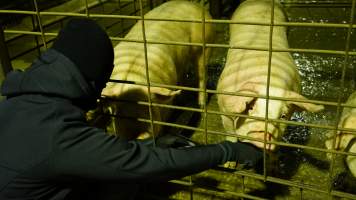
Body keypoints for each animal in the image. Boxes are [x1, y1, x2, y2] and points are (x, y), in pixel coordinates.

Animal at [101, 0, 214, 140]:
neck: (132, 75)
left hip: (205, 47)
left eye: (148, 108)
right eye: (118, 112)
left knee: (202, 75)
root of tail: (195, 5)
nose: (139, 135)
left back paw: (201, 105)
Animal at [216, 0, 324, 151]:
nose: (262, 136)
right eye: (250, 108)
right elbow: (230, 132)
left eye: (283, 116)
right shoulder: (224, 108)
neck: (269, 80)